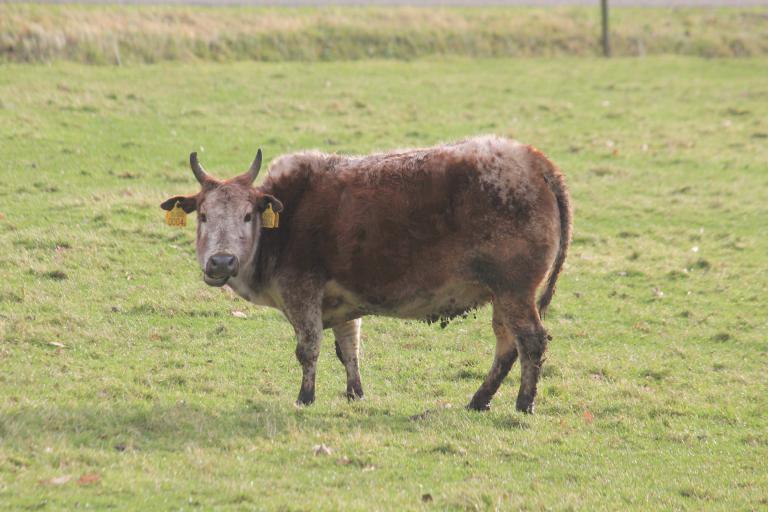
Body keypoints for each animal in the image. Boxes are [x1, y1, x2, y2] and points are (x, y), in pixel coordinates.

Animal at [160, 135, 568, 412]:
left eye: (247, 215)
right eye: (204, 215)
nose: (221, 263)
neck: (284, 220)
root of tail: (536, 162)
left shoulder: (301, 292)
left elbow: (308, 348)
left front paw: (305, 397)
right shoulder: (339, 302)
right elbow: (348, 347)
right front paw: (355, 394)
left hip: (515, 290)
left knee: (531, 341)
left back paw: (523, 403)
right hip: (504, 294)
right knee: (507, 344)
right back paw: (479, 399)